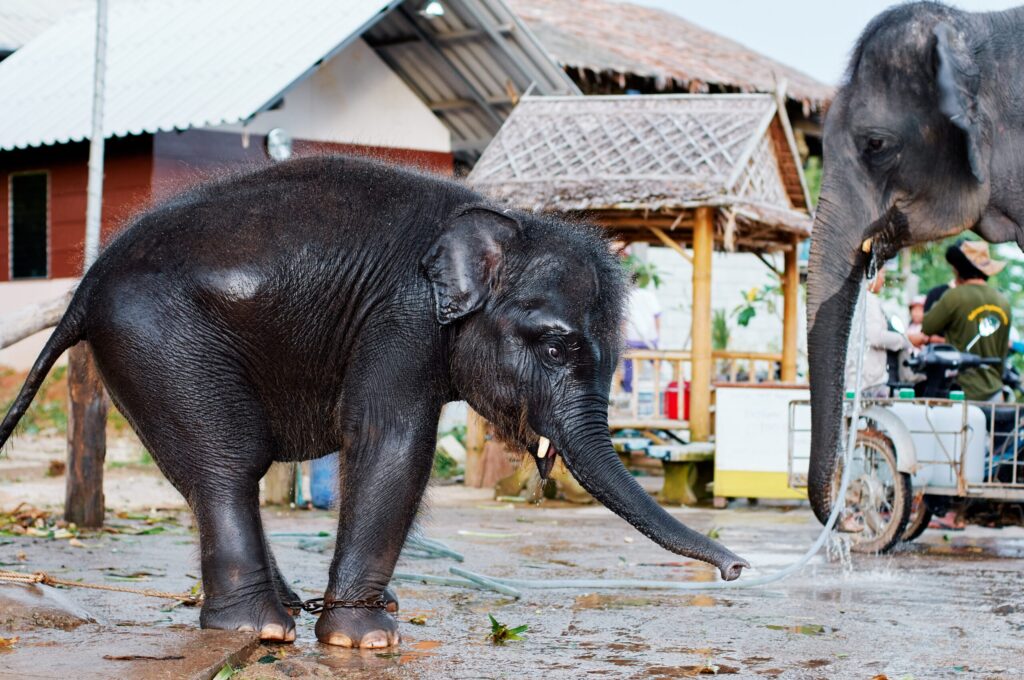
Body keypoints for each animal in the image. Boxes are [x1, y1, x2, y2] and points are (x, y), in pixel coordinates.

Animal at [0, 156, 747, 648]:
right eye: (558, 347)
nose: (738, 568)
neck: (503, 223)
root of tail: (86, 285)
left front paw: (373, 620)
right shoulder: (402, 318)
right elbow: (392, 440)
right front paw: (367, 639)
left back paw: (282, 612)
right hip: (160, 340)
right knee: (228, 465)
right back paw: (261, 627)